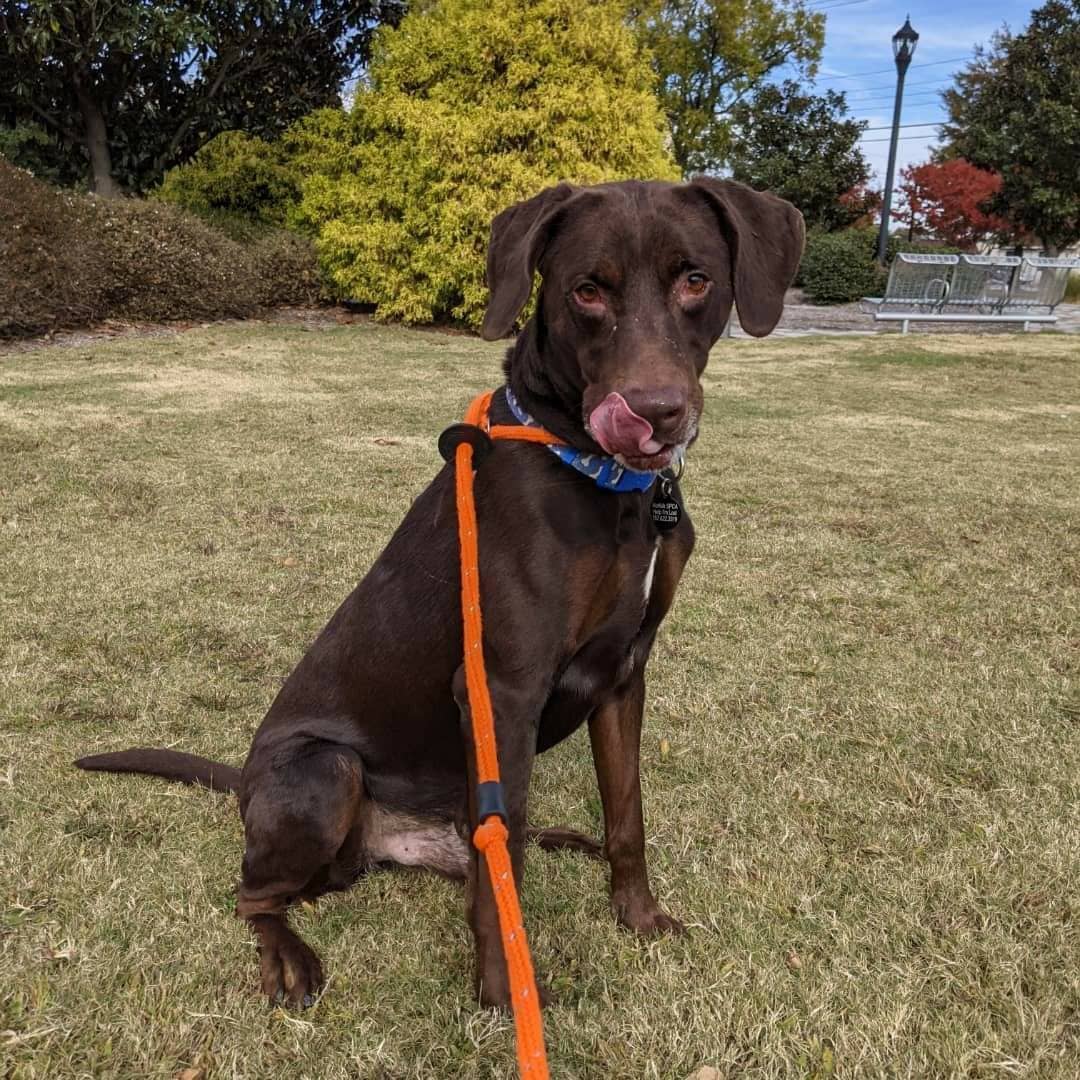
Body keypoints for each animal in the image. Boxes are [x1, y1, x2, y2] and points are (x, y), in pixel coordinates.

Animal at [78, 179, 803, 1010]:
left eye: (696, 281)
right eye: (587, 290)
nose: (655, 414)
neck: (605, 483)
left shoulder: (625, 673)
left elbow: (627, 816)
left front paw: (639, 917)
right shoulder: (502, 687)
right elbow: (504, 868)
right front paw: (503, 990)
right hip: (326, 771)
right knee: (262, 893)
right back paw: (288, 955)